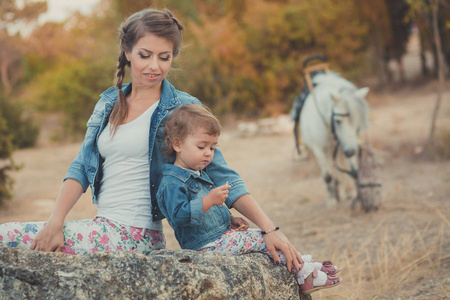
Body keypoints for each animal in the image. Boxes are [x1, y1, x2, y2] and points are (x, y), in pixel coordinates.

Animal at [298, 71, 370, 206]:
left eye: (358, 124)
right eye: (338, 121)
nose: (350, 151)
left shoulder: (346, 145)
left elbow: (352, 170)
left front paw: (354, 193)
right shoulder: (319, 149)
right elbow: (327, 175)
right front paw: (331, 200)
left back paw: (348, 191)